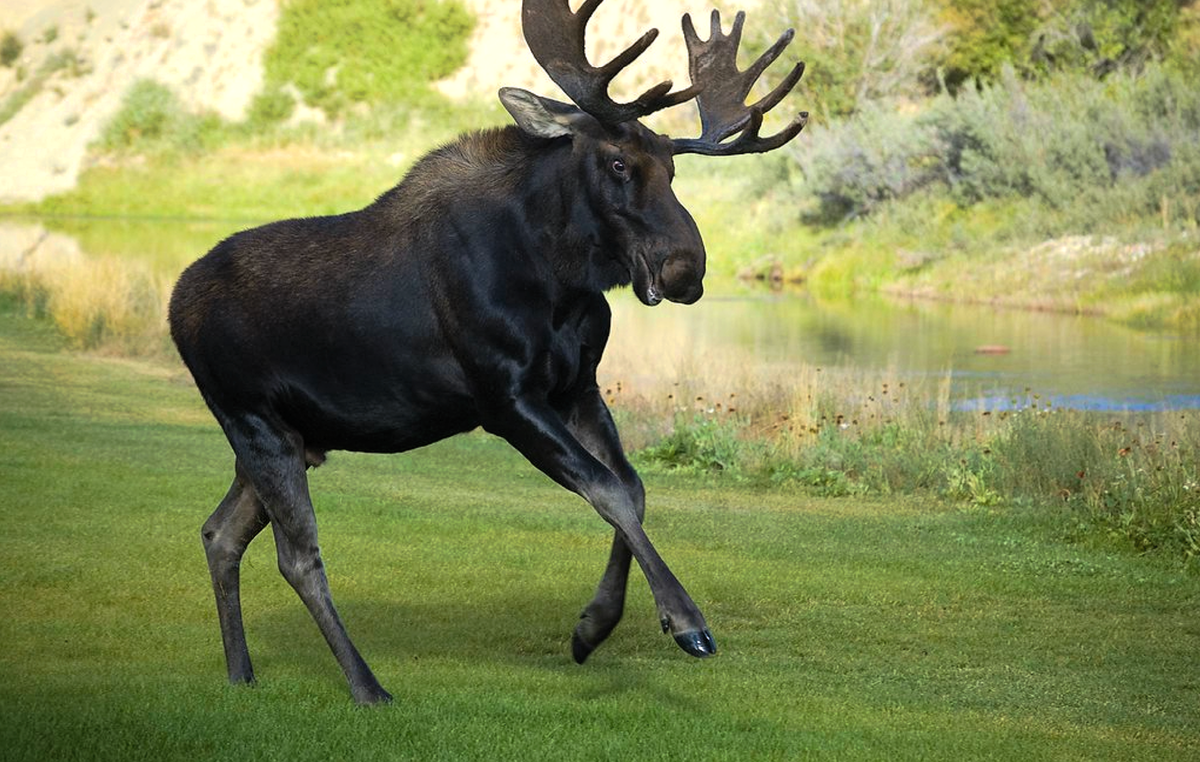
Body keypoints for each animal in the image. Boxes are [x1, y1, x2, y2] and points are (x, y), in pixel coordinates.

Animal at [169, 0, 806, 705]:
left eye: (672, 169)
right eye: (618, 163)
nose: (686, 269)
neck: (559, 278)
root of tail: (174, 306)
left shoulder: (579, 387)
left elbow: (633, 488)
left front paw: (591, 626)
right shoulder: (504, 398)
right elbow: (606, 489)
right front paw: (684, 620)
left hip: (292, 436)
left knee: (219, 532)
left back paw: (241, 672)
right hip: (255, 422)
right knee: (297, 556)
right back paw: (366, 685)